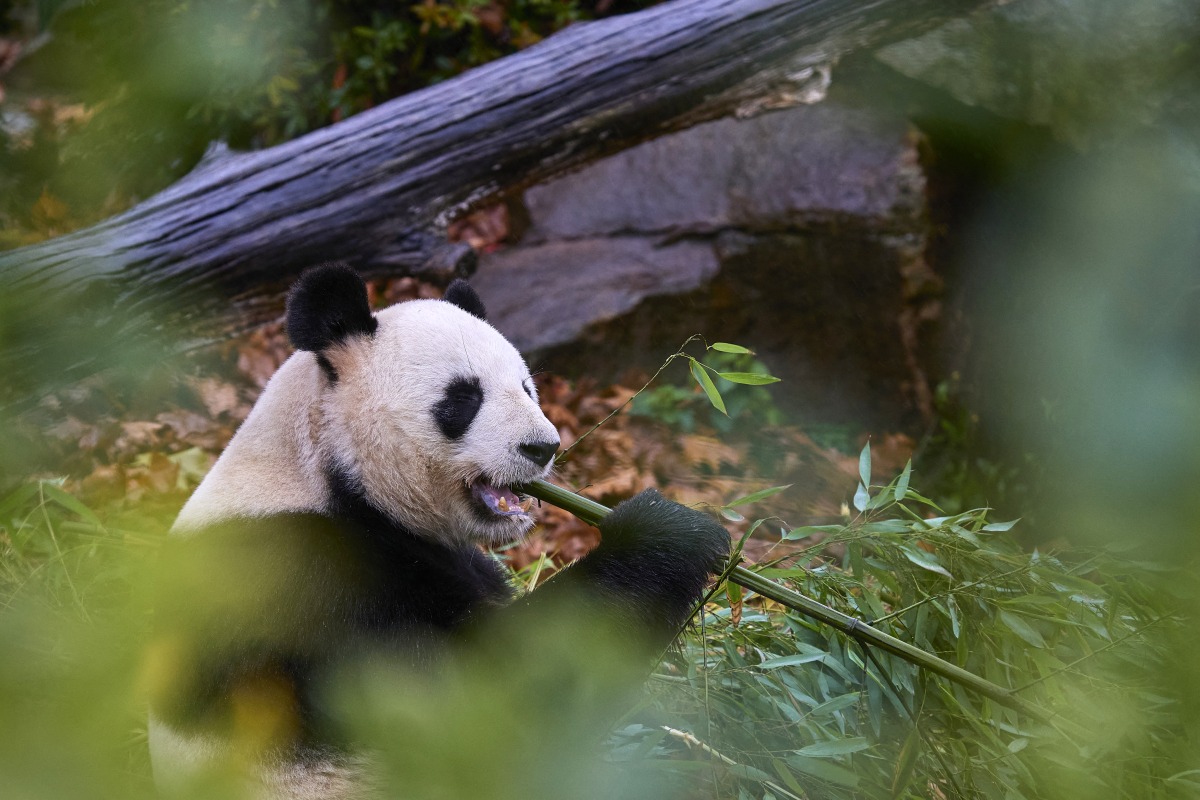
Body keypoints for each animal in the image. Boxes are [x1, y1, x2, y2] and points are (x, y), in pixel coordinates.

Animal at [148, 264, 730, 799]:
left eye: (526, 387)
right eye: (463, 398)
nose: (543, 447)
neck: (323, 472)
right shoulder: (304, 584)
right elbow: (488, 697)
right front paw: (669, 531)